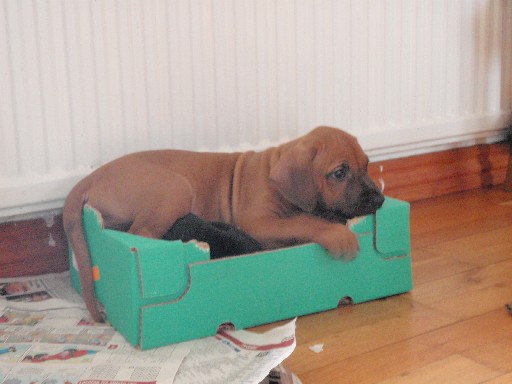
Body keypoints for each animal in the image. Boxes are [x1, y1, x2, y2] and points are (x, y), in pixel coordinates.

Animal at [63, 126, 384, 320]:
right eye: (339, 173)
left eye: (367, 165)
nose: (380, 199)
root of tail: (90, 177)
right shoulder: (258, 223)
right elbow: (305, 222)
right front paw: (338, 234)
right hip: (174, 188)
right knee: (141, 233)